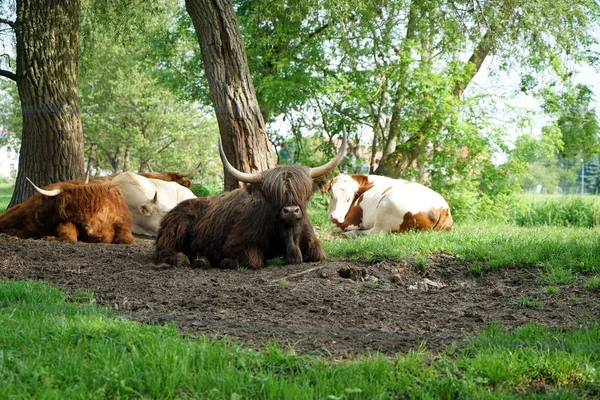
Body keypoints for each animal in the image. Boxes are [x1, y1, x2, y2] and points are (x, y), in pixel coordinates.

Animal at [0, 179, 136, 244]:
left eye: (45, 199)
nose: (36, 216)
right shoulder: (67, 222)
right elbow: (70, 236)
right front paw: (48, 237)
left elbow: (127, 239)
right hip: (15, 214)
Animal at [152, 134, 346, 268]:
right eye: (273, 194)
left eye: (302, 191)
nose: (291, 211)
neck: (288, 235)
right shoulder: (237, 244)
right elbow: (255, 260)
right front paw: (226, 262)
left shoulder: (315, 248)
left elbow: (317, 255)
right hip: (177, 226)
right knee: (163, 250)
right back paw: (187, 259)